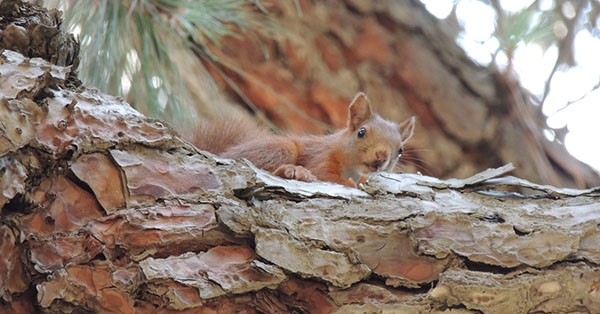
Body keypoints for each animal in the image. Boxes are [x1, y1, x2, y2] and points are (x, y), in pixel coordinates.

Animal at [192, 92, 412, 188]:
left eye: (400, 150)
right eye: (361, 132)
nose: (381, 156)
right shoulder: (321, 158)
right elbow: (325, 175)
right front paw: (352, 184)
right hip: (282, 148)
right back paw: (294, 171)